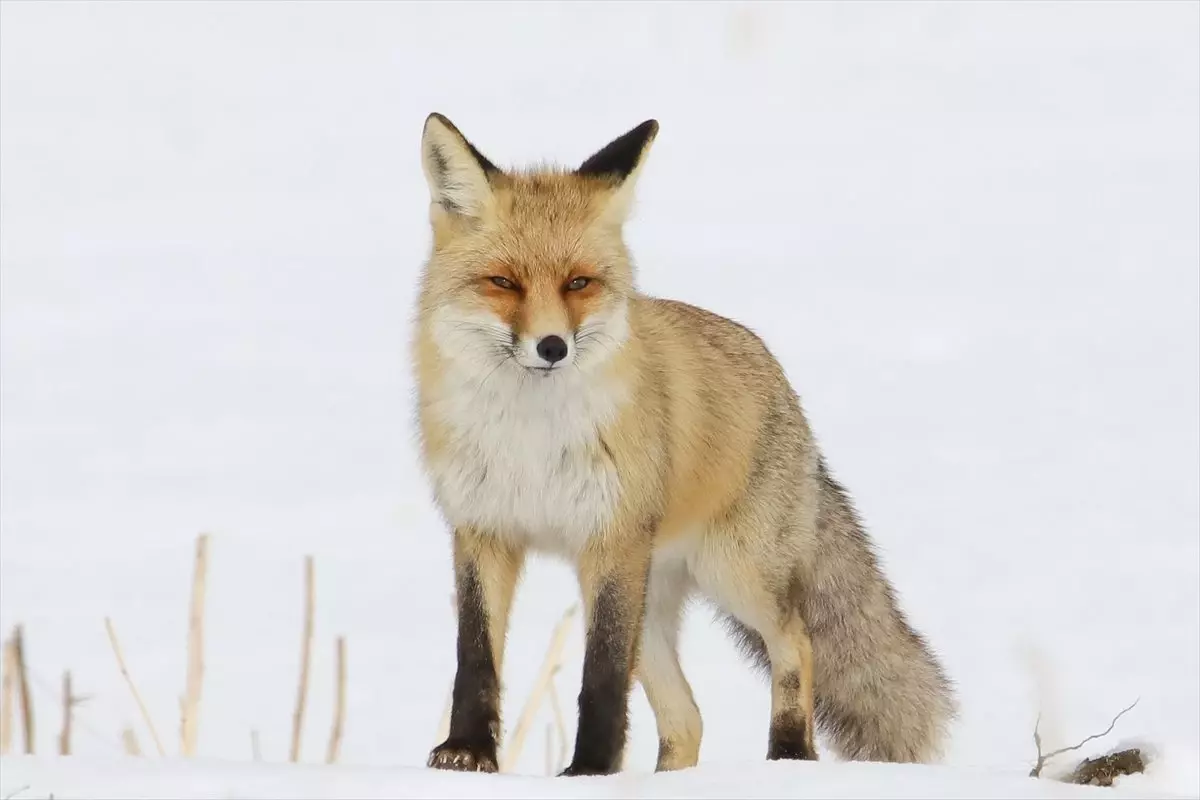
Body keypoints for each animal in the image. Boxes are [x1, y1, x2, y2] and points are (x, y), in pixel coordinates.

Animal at [412, 112, 955, 777]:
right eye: (503, 283)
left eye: (578, 283)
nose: (552, 347)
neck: (531, 441)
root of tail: (778, 376)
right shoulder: (482, 531)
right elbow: (475, 658)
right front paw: (466, 752)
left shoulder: (611, 542)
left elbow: (600, 677)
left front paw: (590, 771)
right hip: (653, 605)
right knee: (688, 721)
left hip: (734, 573)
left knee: (796, 640)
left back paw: (789, 754)